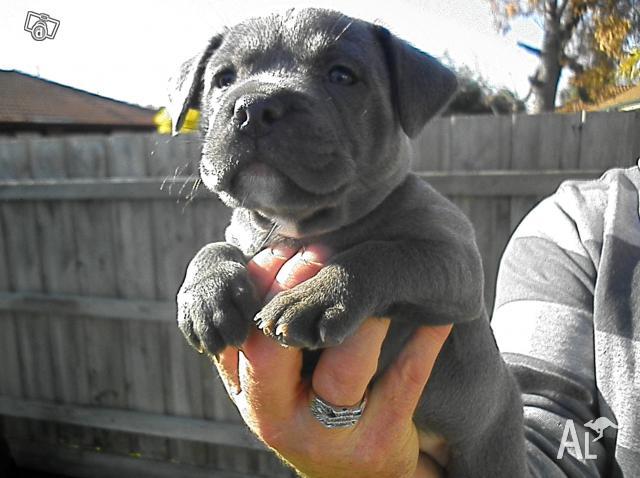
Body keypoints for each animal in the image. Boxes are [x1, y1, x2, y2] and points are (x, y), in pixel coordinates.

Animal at [171, 8, 524, 478]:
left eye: (341, 75)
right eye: (223, 78)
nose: (255, 106)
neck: (299, 225)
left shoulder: (458, 264)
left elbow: (383, 254)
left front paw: (318, 297)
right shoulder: (241, 234)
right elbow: (211, 249)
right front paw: (205, 296)